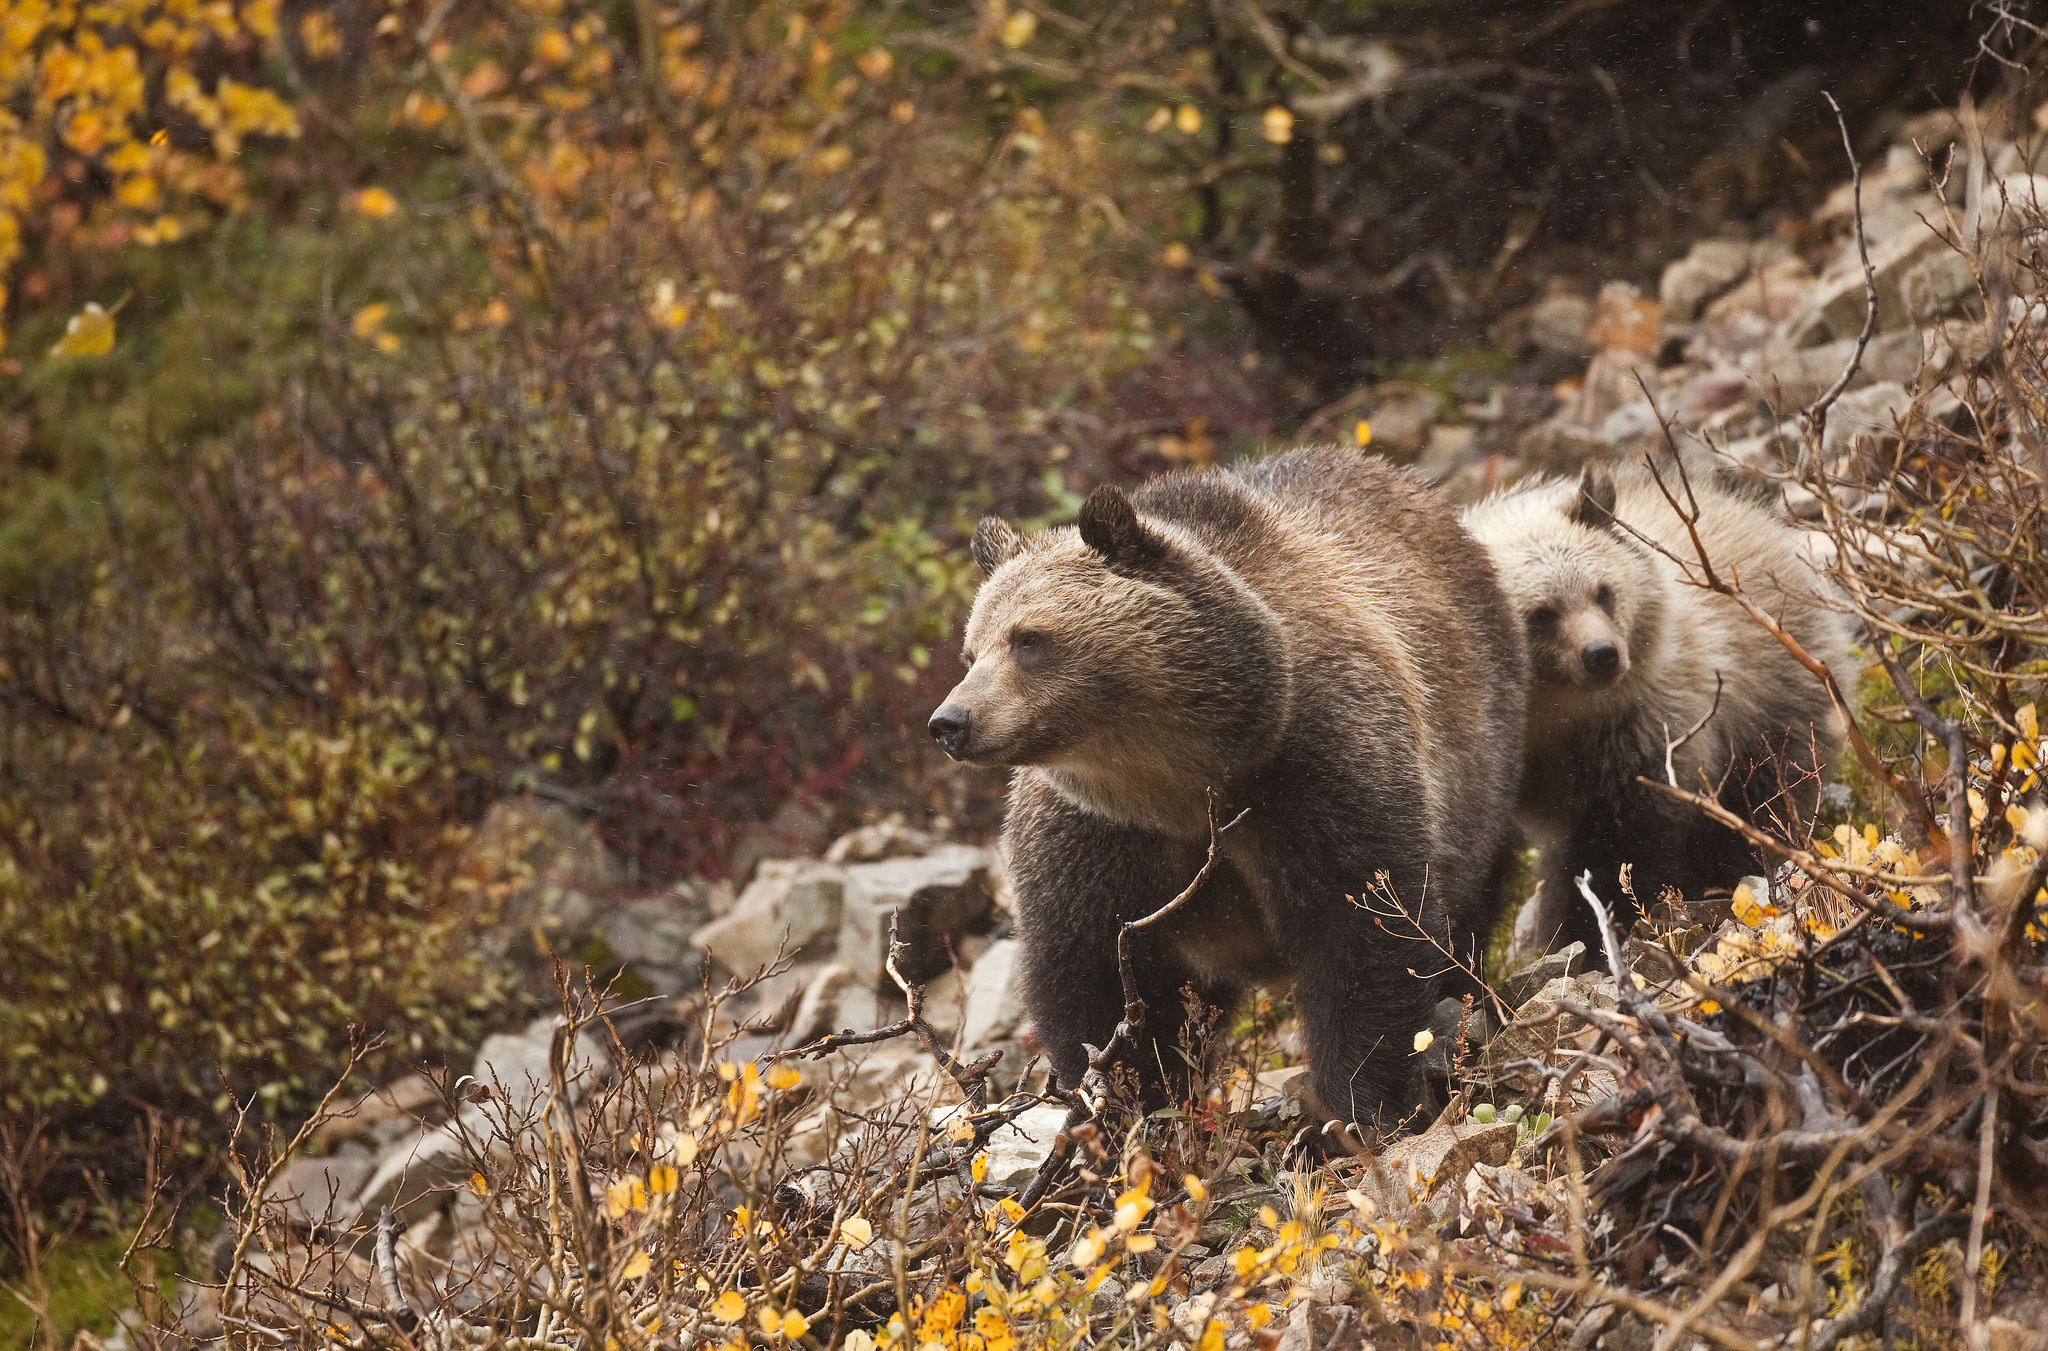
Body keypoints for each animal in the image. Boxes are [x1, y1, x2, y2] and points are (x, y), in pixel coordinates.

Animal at [929, 448, 1523, 1138]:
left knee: (1468, 909)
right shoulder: (1095, 835)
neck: (1183, 780)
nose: (951, 721)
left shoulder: (1318, 766)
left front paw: (1363, 1105)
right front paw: (1126, 1106)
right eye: (971, 649)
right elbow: (1092, 974)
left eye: (1028, 639)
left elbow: (1364, 932)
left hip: (1484, 762)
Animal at [1458, 468, 1859, 953]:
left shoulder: (1641, 732)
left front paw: (1601, 928)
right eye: (1541, 613)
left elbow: (1624, 844)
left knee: (1761, 798)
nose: (1602, 654)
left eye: (1603, 591)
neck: (1551, 717)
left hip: (1771, 697)